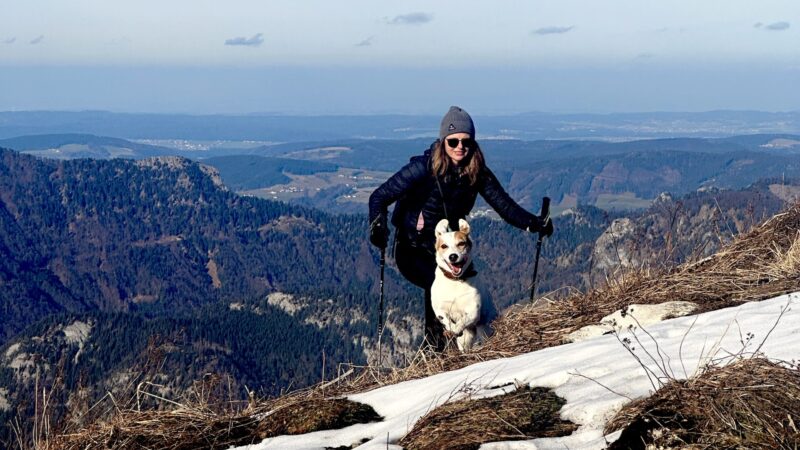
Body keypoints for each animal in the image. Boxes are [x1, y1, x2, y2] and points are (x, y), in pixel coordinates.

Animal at [432, 218, 488, 352]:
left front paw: (456, 329)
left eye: (461, 243)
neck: (456, 281)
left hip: (483, 329)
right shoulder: (439, 309)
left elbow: (463, 320)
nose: (453, 256)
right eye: (444, 246)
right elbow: (445, 318)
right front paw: (451, 329)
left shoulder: (474, 310)